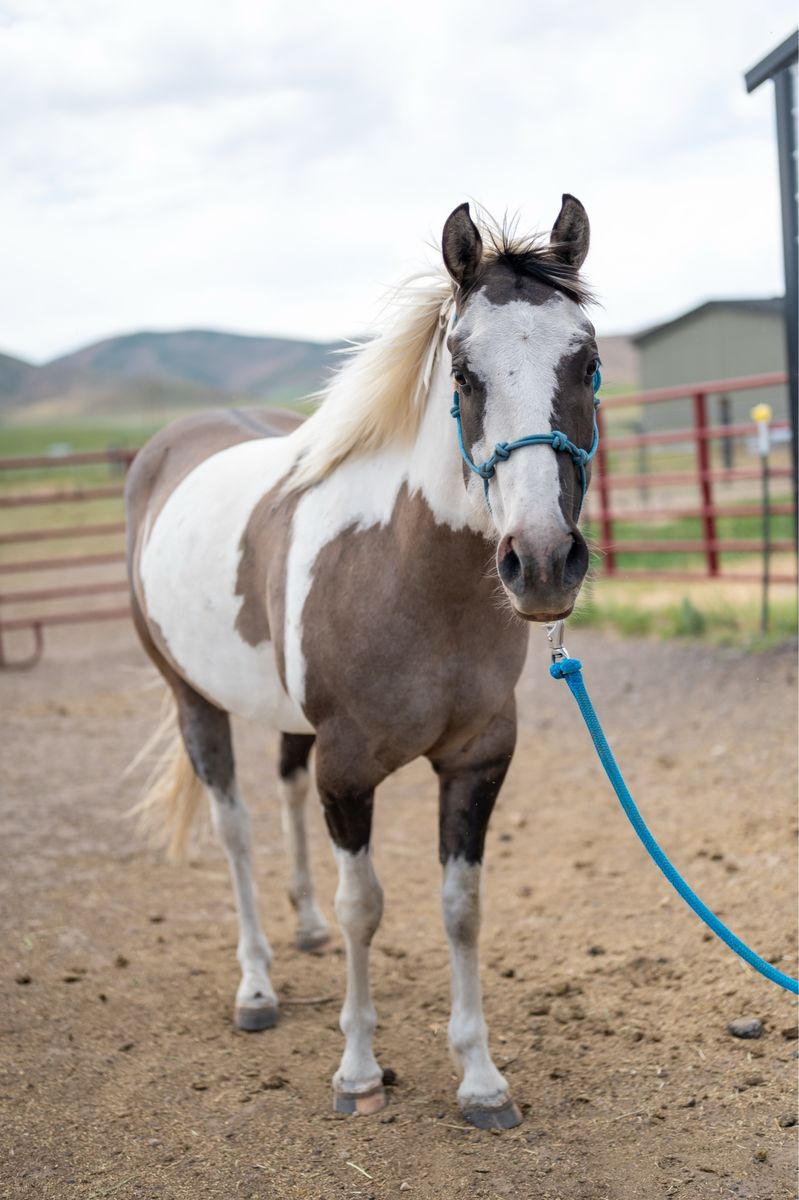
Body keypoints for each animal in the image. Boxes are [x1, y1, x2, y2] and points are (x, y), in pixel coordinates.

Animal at [125, 195, 599, 1130]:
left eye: (588, 362)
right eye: (462, 374)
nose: (541, 562)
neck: (408, 572)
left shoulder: (477, 759)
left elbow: (460, 906)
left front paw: (480, 1079)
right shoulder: (347, 771)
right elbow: (365, 907)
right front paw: (356, 1072)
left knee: (281, 790)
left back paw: (300, 928)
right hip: (194, 699)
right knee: (234, 828)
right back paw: (258, 988)